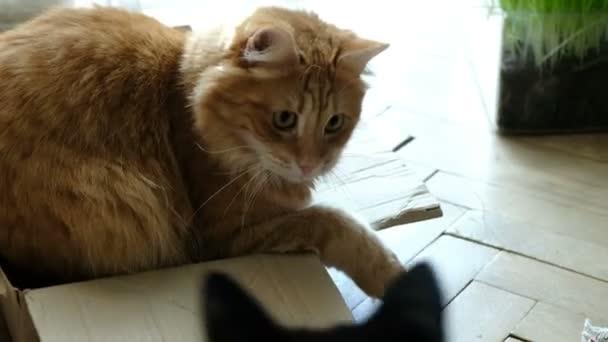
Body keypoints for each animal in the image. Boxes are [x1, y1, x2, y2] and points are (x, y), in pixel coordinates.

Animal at [0, 4, 406, 296]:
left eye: (334, 123)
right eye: (284, 119)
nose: (310, 165)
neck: (180, 97)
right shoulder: (226, 237)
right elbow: (332, 220)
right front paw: (390, 274)